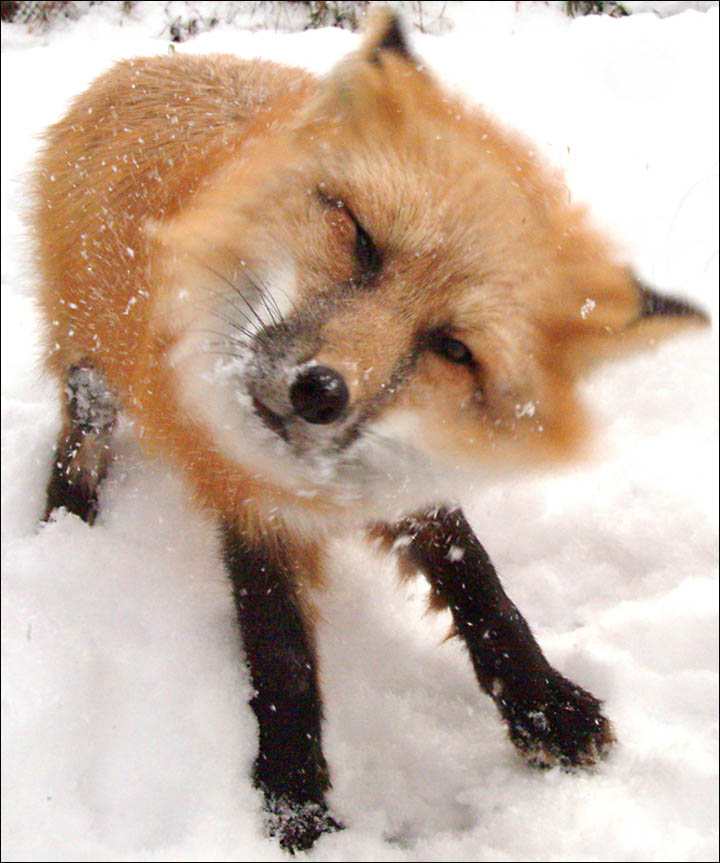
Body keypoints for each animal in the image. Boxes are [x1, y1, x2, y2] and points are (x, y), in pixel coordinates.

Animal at [35, 8, 708, 856]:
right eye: (361, 239)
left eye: (453, 348)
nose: (319, 392)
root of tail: (143, 66)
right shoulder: (246, 495)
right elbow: (280, 655)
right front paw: (295, 799)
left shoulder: (407, 476)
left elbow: (483, 588)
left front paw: (543, 706)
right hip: (86, 352)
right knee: (80, 431)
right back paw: (65, 519)